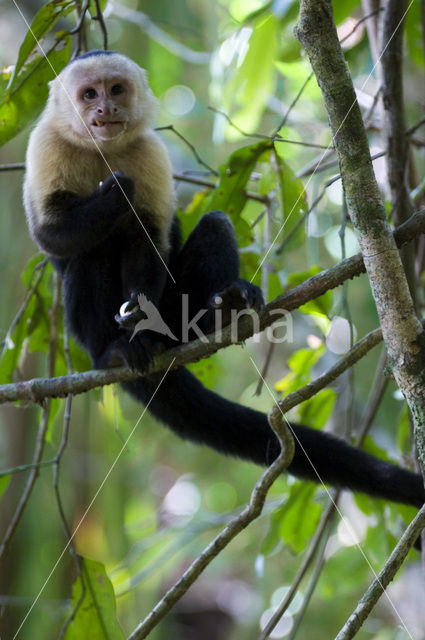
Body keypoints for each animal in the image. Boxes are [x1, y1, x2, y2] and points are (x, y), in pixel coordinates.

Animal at [22, 48, 424, 510]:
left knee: (213, 226)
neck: (101, 150)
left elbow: (150, 239)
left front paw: (142, 299)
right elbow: (50, 235)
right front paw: (114, 194)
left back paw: (215, 313)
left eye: (116, 89)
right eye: (89, 94)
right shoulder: (46, 145)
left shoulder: (149, 152)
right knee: (91, 254)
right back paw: (115, 353)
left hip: (176, 313)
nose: (106, 109)